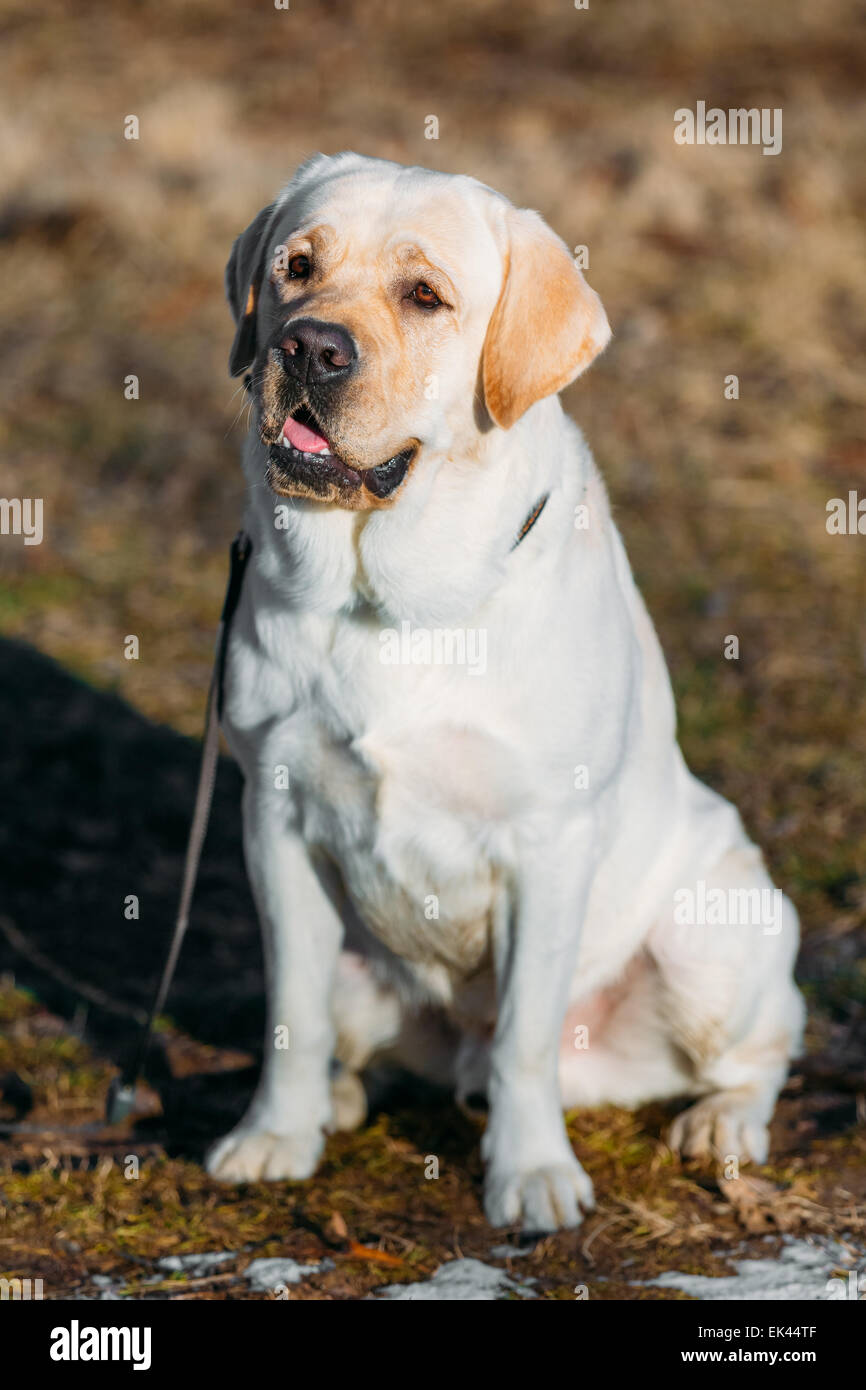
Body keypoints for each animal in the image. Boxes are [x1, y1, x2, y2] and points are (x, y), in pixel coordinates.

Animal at [204, 157, 806, 1234]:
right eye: (296, 267)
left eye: (424, 295)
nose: (306, 345)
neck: (382, 602)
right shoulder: (274, 819)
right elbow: (289, 1015)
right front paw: (275, 1135)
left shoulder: (547, 841)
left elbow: (527, 1030)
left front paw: (529, 1174)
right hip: (365, 967)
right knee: (357, 1037)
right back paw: (339, 1099)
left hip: (719, 928)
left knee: (762, 1045)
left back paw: (721, 1125)